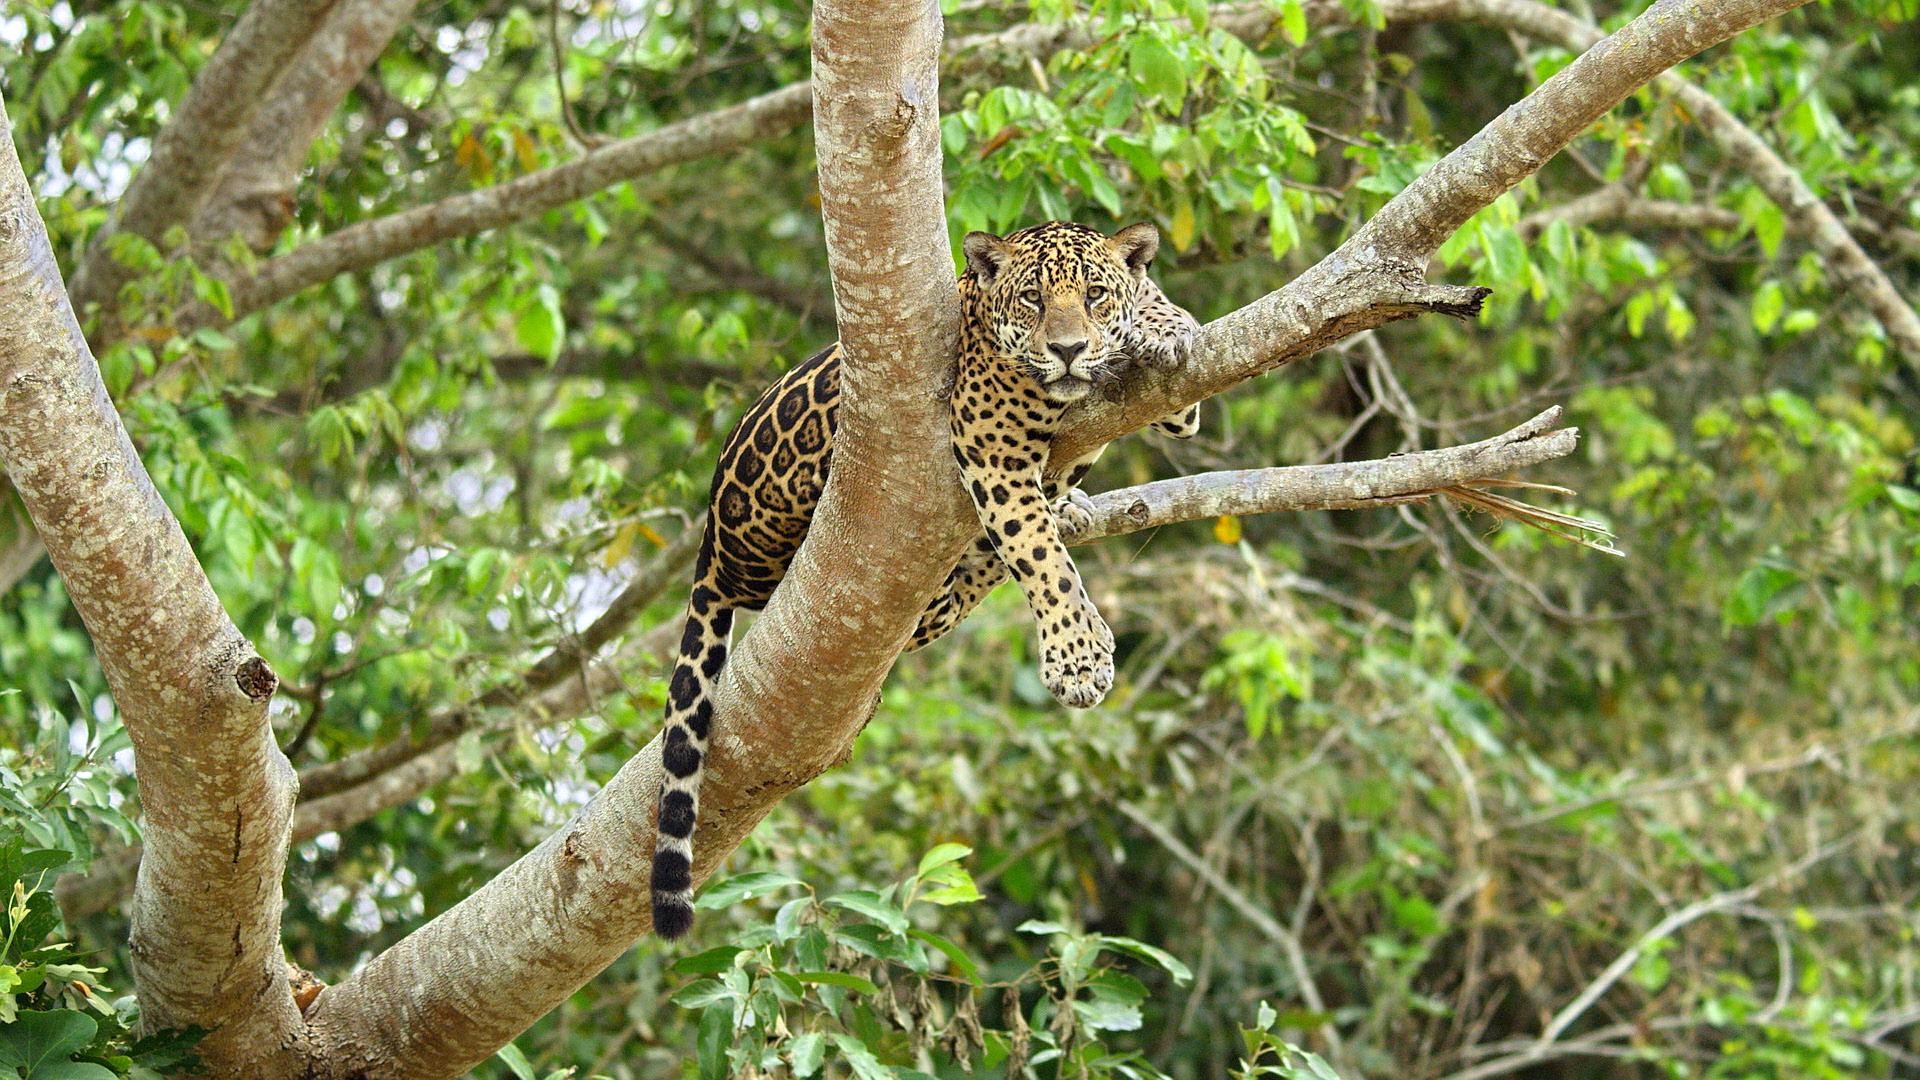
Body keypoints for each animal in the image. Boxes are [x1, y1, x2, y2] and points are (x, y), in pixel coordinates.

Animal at [650, 220, 1200, 939]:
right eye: (1032, 300)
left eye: (1095, 296)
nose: (1068, 348)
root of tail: (711, 547)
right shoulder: (994, 455)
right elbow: (1042, 558)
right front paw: (1076, 656)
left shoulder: (1171, 403)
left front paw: (1166, 326)